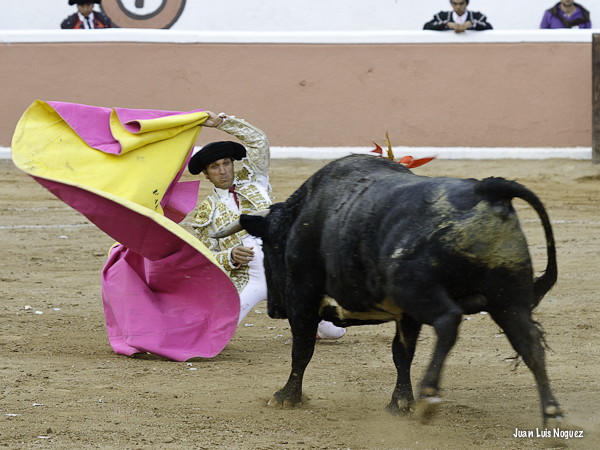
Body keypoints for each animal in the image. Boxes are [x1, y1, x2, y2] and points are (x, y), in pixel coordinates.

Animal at [214, 153, 564, 424]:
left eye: (269, 245)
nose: (275, 309)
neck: (304, 214)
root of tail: (485, 187)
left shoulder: (303, 296)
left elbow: (302, 349)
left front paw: (286, 397)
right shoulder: (406, 316)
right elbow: (402, 354)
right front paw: (400, 402)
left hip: (414, 288)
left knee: (449, 321)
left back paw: (430, 395)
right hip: (508, 300)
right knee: (530, 344)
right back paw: (552, 414)